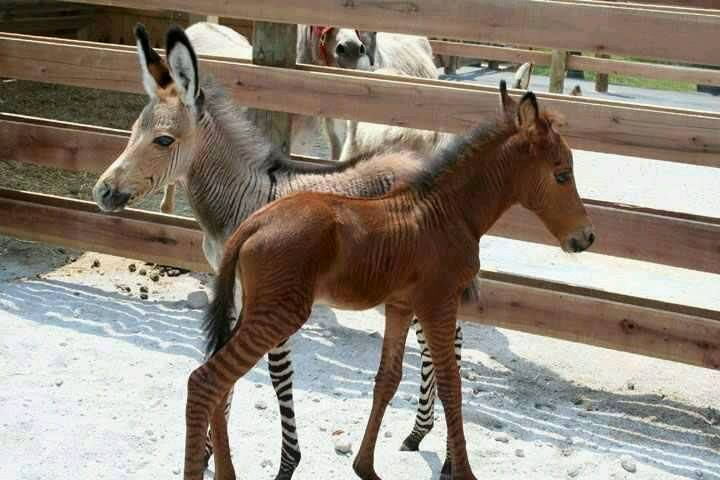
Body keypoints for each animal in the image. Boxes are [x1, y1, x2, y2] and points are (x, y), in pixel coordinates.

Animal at [186, 84, 596, 478]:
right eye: (562, 174)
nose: (586, 237)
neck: (448, 213)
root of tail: (253, 223)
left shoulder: (400, 306)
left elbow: (388, 378)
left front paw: (365, 467)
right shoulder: (436, 303)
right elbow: (450, 384)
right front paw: (462, 472)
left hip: (255, 310)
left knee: (221, 384)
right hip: (278, 314)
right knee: (206, 381)